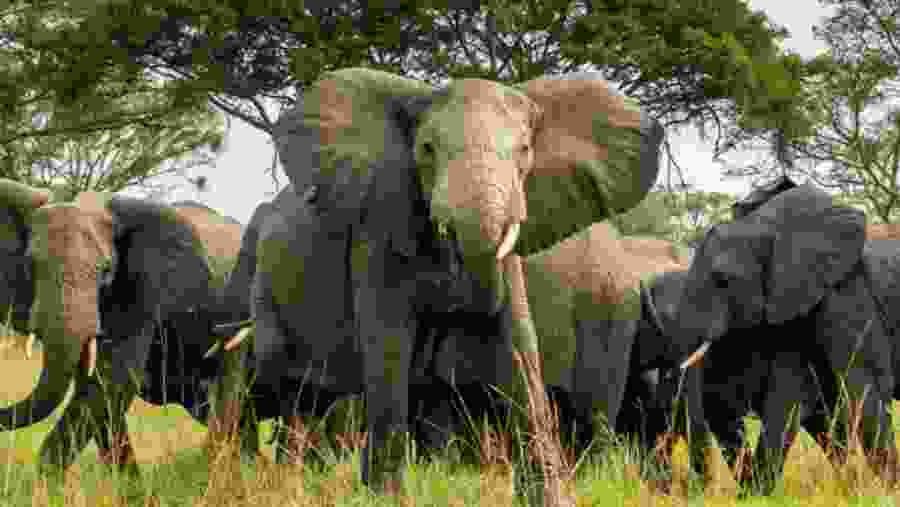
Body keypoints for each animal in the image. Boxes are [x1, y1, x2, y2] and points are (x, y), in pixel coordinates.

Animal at [0, 189, 244, 477]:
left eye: (106, 271)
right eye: (30, 264)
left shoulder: (143, 290)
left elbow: (113, 380)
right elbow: (98, 389)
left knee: (229, 397)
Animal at [259, 67, 664, 493]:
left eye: (525, 150)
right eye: (426, 149)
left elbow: (519, 344)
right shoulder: (379, 231)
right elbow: (388, 346)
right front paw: (383, 496)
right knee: (300, 398)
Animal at [672, 182, 900, 493]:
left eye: (723, 280)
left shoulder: (847, 290)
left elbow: (865, 387)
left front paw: (887, 493)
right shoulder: (789, 310)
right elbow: (791, 398)